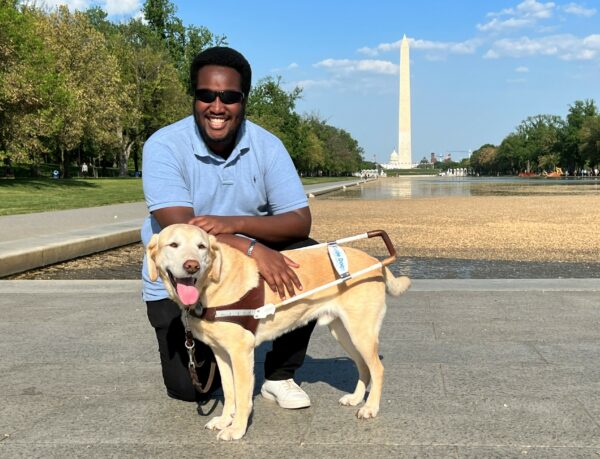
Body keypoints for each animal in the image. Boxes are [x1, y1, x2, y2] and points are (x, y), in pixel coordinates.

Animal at [147, 225, 410, 440]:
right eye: (173, 245)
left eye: (201, 246)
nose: (192, 266)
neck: (212, 285)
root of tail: (375, 261)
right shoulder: (221, 353)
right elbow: (230, 393)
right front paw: (224, 420)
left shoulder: (241, 353)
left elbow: (242, 396)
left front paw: (236, 429)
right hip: (343, 333)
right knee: (364, 367)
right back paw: (356, 398)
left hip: (360, 332)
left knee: (378, 369)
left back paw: (370, 407)